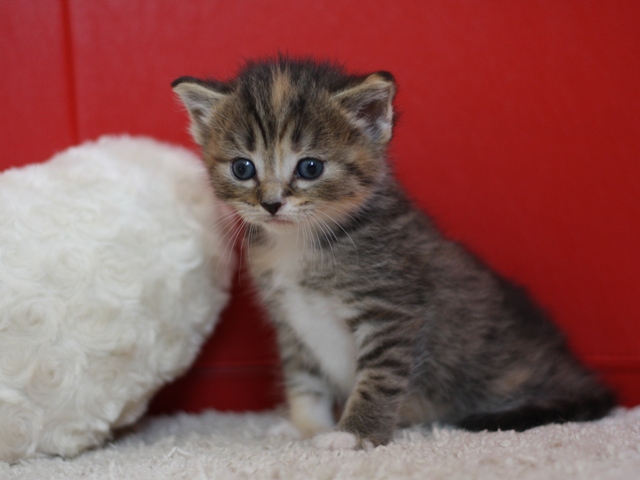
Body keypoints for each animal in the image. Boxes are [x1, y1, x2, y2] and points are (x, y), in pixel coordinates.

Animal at [171, 57, 616, 450]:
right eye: (243, 168)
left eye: (310, 168)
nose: (271, 204)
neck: (300, 243)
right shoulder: (291, 321)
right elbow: (304, 378)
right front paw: (305, 426)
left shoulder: (391, 308)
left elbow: (378, 379)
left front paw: (354, 435)